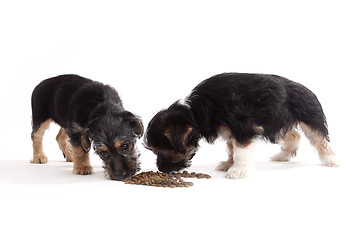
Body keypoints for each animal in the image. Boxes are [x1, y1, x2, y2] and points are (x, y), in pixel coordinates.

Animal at [143, 72, 338, 178]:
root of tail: (308, 89)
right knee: (294, 135)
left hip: (310, 119)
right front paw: (228, 164)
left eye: (162, 151)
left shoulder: (243, 128)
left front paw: (237, 171)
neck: (195, 110)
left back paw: (331, 161)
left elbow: (241, 151)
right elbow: (231, 149)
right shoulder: (230, 130)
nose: (160, 169)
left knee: (321, 140)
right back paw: (281, 156)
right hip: (277, 122)